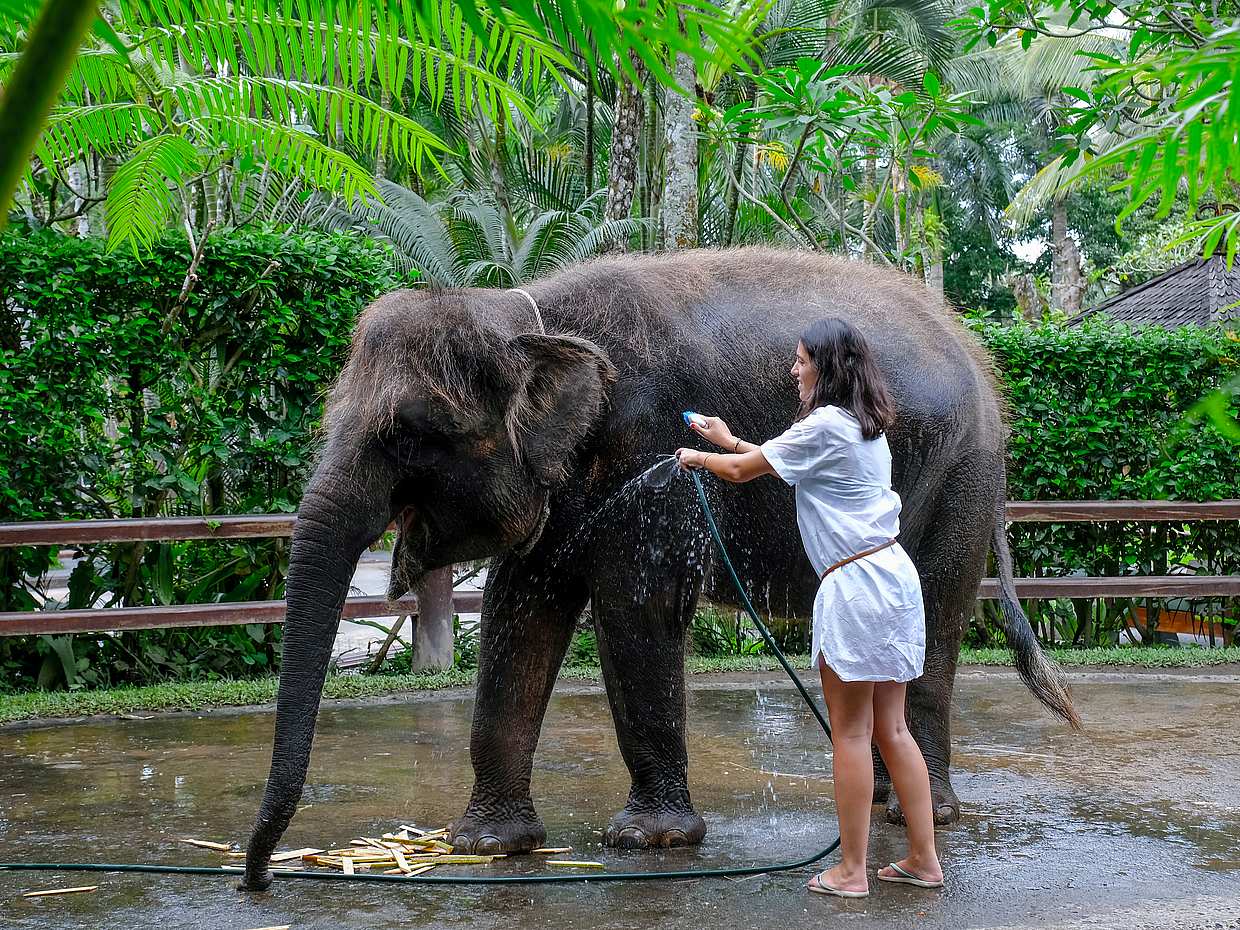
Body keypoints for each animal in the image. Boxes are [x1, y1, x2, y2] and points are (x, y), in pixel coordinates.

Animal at [241, 247, 1080, 892]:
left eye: (412, 436)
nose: (258, 877)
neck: (528, 317)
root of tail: (984, 366)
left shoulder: (640, 451)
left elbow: (634, 608)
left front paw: (649, 841)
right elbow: (522, 610)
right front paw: (484, 846)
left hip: (958, 482)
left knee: (934, 627)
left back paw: (919, 815)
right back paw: (878, 802)